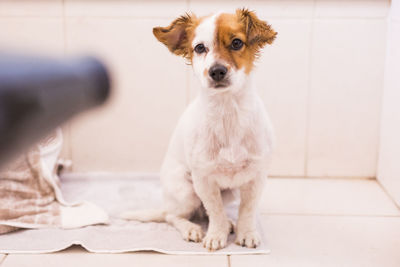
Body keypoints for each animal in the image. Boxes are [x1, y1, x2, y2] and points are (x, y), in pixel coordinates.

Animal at [123, 7, 276, 251]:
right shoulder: (203, 180)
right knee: (173, 216)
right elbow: (215, 211)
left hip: (229, 192)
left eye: (236, 43)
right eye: (199, 48)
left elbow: (246, 210)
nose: (217, 71)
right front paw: (216, 235)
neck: (227, 113)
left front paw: (246, 232)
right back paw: (192, 229)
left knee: (204, 212)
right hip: (186, 192)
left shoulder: (256, 177)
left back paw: (229, 224)